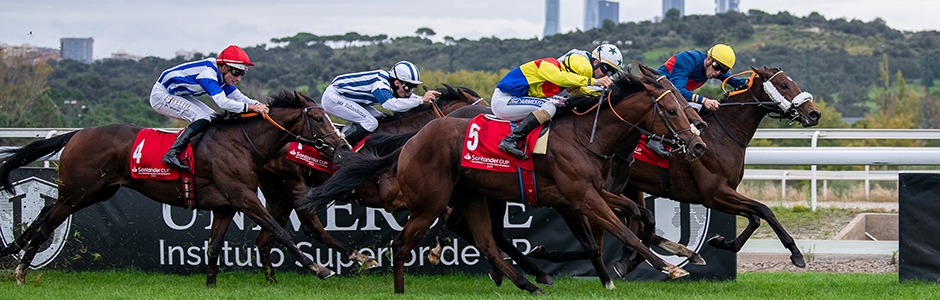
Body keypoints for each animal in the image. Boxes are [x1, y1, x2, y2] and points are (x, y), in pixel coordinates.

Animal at [0, 89, 346, 286]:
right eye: (318, 118)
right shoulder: (244, 197)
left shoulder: (226, 205)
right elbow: (280, 231)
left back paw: (13, 252)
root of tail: (75, 134)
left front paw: (210, 285)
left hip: (93, 192)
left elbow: (214, 246)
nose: (341, 145)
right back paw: (20, 271)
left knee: (45, 212)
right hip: (79, 192)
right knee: (47, 222)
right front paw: (320, 268)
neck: (241, 143)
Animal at [253, 84, 488, 282]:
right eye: (483, 112)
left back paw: (272, 281)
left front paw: (439, 250)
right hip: (292, 185)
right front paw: (438, 251)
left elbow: (444, 211)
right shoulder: (393, 197)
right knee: (312, 228)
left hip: (278, 195)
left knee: (266, 238)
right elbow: (443, 211)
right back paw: (356, 259)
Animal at [304, 74, 708, 294]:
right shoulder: (579, 197)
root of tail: (416, 137)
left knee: (485, 238)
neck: (586, 137)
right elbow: (615, 233)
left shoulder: (593, 191)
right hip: (433, 198)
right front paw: (665, 267)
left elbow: (636, 214)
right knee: (411, 236)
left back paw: (524, 280)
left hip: (477, 195)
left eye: (683, 105)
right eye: (671, 110)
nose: (698, 142)